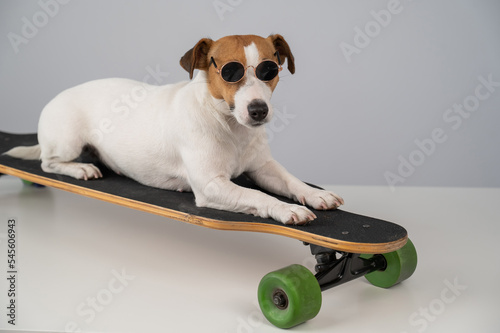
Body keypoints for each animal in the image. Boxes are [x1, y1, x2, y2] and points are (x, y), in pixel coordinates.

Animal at [5, 33, 344, 224]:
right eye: (229, 72)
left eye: (269, 70)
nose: (258, 110)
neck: (229, 125)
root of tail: (55, 98)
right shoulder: (211, 186)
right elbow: (258, 196)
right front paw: (286, 210)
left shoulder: (264, 167)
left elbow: (291, 181)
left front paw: (316, 195)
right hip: (68, 142)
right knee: (48, 163)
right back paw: (80, 169)